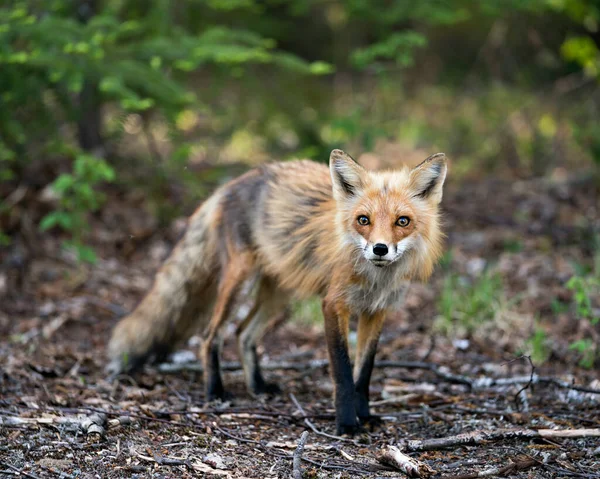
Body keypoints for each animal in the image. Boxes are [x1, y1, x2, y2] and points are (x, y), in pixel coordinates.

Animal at [106, 150, 446, 436]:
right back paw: (215, 392)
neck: (376, 279)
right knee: (210, 335)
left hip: (280, 294)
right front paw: (347, 424)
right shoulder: (334, 306)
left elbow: (364, 375)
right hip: (240, 281)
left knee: (243, 333)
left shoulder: (376, 311)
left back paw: (257, 387)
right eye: (364, 220)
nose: (380, 249)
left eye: (402, 221)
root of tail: (233, 183)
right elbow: (343, 373)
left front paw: (365, 416)